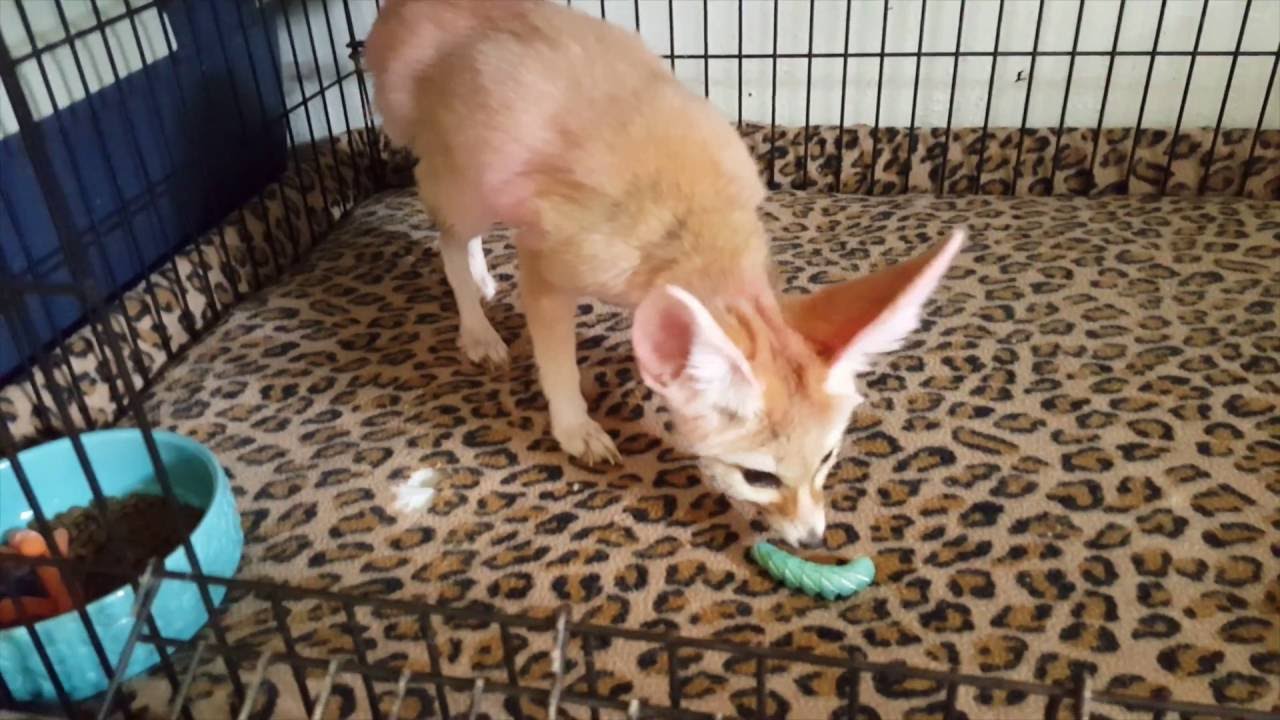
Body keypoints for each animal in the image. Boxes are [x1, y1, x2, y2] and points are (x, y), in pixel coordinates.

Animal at [365, 0, 965, 548]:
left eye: (827, 458)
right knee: (447, 239)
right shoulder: (547, 267)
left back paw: (484, 281)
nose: (813, 542)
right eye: (758, 477)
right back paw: (477, 329)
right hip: (470, 187)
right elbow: (557, 363)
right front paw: (575, 427)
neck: (697, 227)